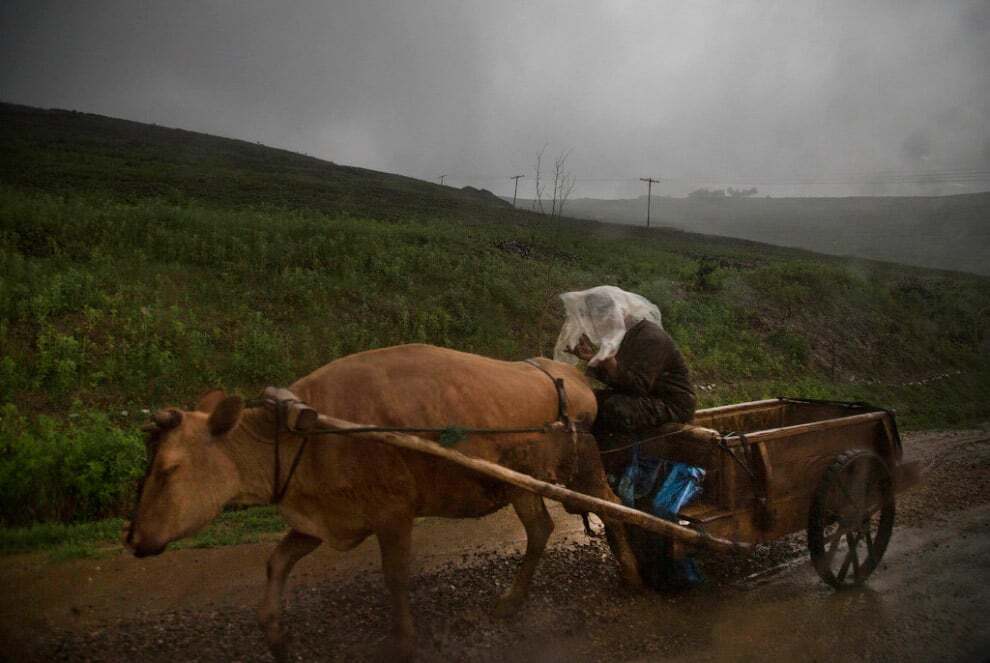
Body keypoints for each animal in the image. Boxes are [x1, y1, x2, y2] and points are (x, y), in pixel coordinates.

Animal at [124, 344, 644, 660]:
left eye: (169, 468)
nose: (134, 539)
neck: (307, 431)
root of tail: (572, 377)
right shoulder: (325, 519)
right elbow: (276, 563)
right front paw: (275, 636)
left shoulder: (393, 511)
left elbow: (395, 576)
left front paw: (404, 643)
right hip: (520, 483)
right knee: (540, 529)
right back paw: (511, 602)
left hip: (582, 466)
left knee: (612, 507)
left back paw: (632, 574)